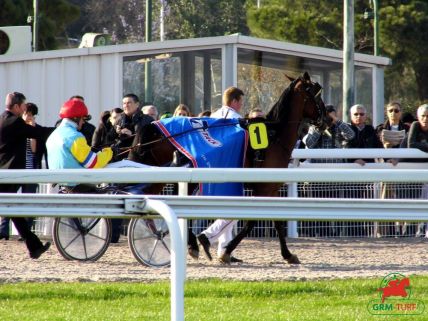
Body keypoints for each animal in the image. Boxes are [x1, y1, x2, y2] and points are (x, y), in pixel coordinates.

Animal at [129, 72, 326, 262]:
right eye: (317, 94)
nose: (325, 120)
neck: (274, 137)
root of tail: (153, 127)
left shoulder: (267, 188)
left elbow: (273, 221)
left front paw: (286, 254)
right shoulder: (266, 187)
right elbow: (254, 222)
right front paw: (227, 251)